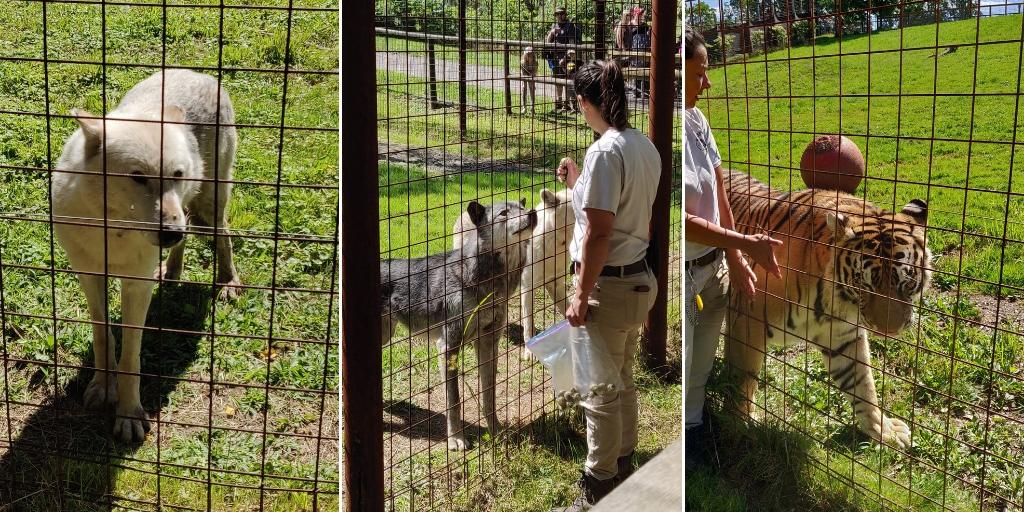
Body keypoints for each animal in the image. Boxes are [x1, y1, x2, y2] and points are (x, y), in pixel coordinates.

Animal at [53, 70, 241, 442]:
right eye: (138, 177)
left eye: (176, 175)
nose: (170, 233)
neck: (113, 230)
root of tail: (200, 74)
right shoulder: (89, 276)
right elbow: (103, 336)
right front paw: (102, 388)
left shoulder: (137, 286)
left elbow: (131, 358)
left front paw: (128, 415)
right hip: (191, 213)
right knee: (189, 235)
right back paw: (172, 271)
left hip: (208, 208)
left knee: (223, 237)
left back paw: (228, 281)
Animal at [378, 201, 536, 450]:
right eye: (504, 213)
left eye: (522, 206)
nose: (532, 213)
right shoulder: (448, 347)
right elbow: (454, 401)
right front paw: (456, 439)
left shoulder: (488, 345)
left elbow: (489, 396)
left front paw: (497, 431)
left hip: (384, 335)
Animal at [724, 168, 933, 448]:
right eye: (864, 283)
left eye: (906, 282)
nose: (888, 331)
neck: (831, 300)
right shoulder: (747, 320)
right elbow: (743, 379)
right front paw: (738, 423)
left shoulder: (843, 337)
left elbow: (862, 385)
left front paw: (884, 430)